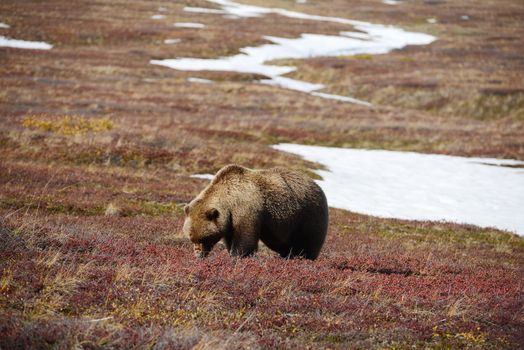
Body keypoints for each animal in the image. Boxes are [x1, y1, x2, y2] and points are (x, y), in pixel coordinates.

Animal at [181, 164, 328, 260]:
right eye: (191, 238)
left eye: (204, 238)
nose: (198, 255)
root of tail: (318, 186)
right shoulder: (229, 221)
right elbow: (230, 238)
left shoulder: (246, 209)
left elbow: (245, 239)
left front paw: (237, 256)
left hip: (308, 216)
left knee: (308, 243)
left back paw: (305, 258)